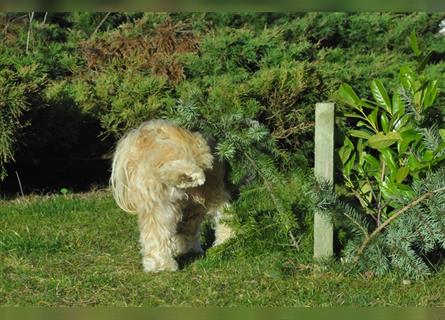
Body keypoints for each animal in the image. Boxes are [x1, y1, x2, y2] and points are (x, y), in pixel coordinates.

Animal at [110, 120, 232, 272]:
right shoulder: (215, 195)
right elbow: (225, 219)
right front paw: (225, 240)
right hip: (191, 149)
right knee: (178, 165)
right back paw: (191, 175)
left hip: (157, 203)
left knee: (155, 233)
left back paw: (160, 265)